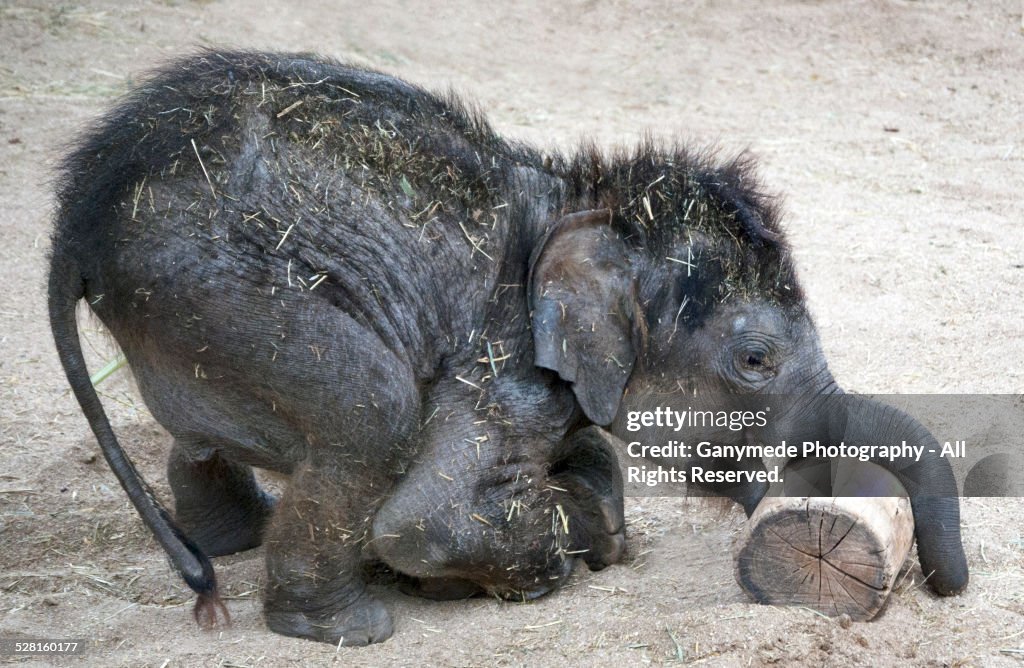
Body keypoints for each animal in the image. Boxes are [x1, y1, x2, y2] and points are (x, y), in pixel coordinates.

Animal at [48, 50, 967, 646]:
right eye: (755, 360)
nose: (943, 585)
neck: (582, 205)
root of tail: (75, 220)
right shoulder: (504, 365)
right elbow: (424, 523)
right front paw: (575, 545)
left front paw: (591, 501)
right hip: (226, 291)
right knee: (372, 417)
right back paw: (350, 626)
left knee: (204, 433)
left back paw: (238, 538)